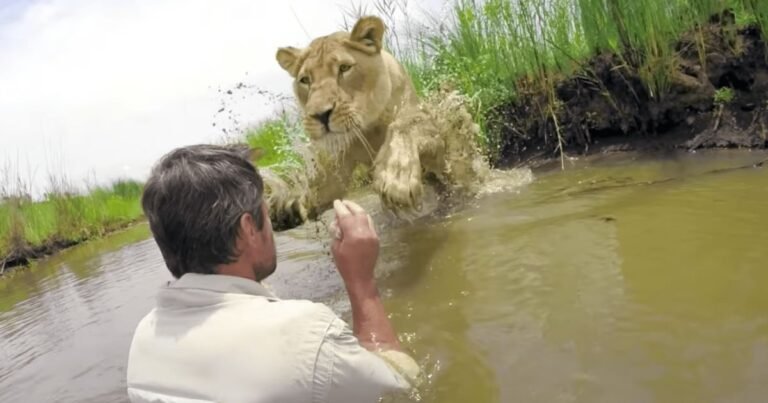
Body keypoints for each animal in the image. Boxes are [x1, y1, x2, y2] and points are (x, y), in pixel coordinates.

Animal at [265, 15, 487, 230]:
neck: (369, 128)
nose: (320, 115)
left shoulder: (434, 138)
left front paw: (396, 179)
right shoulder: (338, 161)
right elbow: (320, 187)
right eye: (305, 80)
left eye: (344, 68)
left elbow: (405, 125)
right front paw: (288, 205)